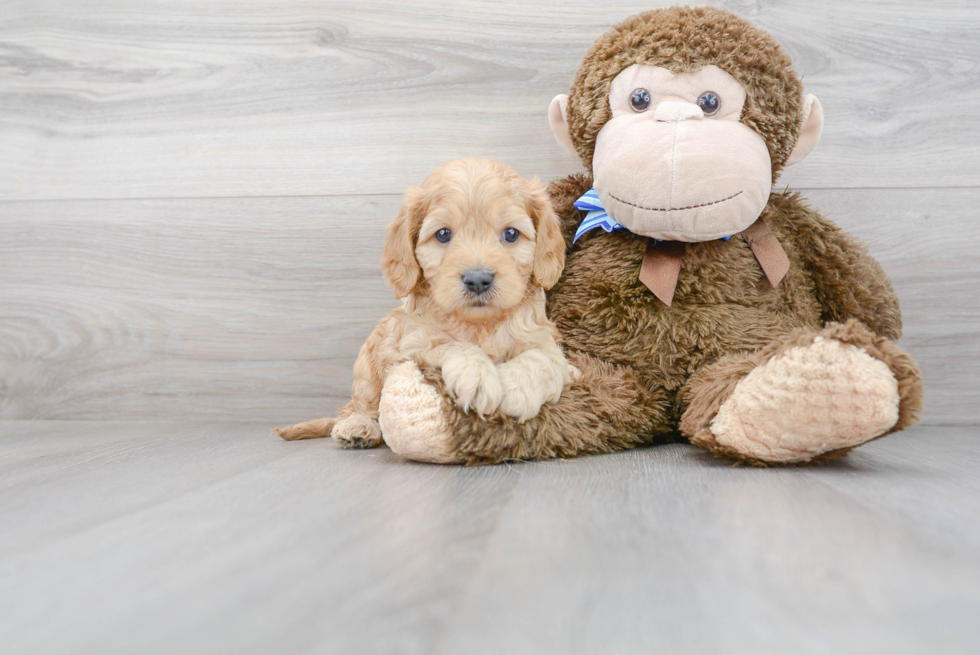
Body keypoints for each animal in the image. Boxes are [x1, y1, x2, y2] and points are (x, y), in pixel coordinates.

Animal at [276, 156, 580, 448]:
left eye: (511, 234)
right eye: (443, 234)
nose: (478, 279)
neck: (478, 325)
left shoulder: (541, 337)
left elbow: (543, 358)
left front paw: (518, 390)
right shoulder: (413, 346)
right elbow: (453, 345)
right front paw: (477, 376)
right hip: (367, 364)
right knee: (360, 404)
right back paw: (357, 427)